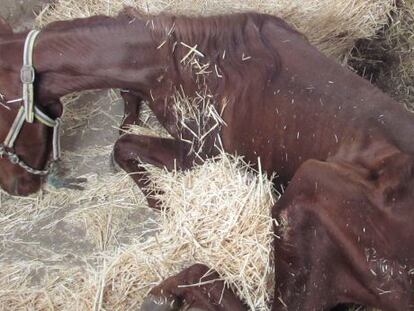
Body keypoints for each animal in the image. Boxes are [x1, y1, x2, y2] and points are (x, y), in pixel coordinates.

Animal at [0, 9, 412, 311]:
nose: (17, 186)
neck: (174, 58)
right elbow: (125, 125)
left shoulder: (204, 153)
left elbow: (122, 146)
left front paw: (160, 201)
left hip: (309, 191)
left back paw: (163, 295)